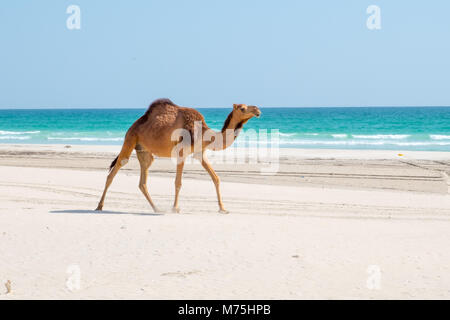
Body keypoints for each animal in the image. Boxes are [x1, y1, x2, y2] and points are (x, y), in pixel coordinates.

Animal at [96, 99, 262, 214]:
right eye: (242, 108)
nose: (258, 109)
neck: (203, 133)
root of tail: (134, 124)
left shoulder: (200, 153)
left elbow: (216, 178)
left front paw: (223, 209)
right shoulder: (182, 152)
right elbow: (178, 182)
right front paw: (175, 208)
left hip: (144, 151)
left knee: (142, 181)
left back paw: (157, 208)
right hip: (130, 139)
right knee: (114, 171)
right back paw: (99, 206)